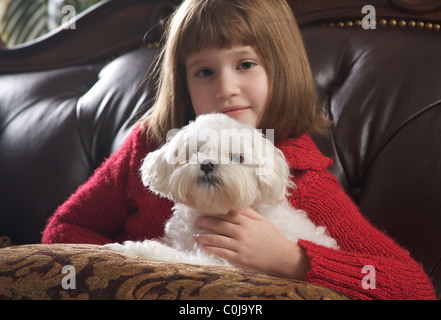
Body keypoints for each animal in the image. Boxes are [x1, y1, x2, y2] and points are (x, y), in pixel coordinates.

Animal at [100, 114, 336, 266]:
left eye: (237, 157)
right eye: (194, 151)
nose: (207, 164)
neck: (213, 209)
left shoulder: (217, 258)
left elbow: (165, 253)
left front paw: (124, 248)